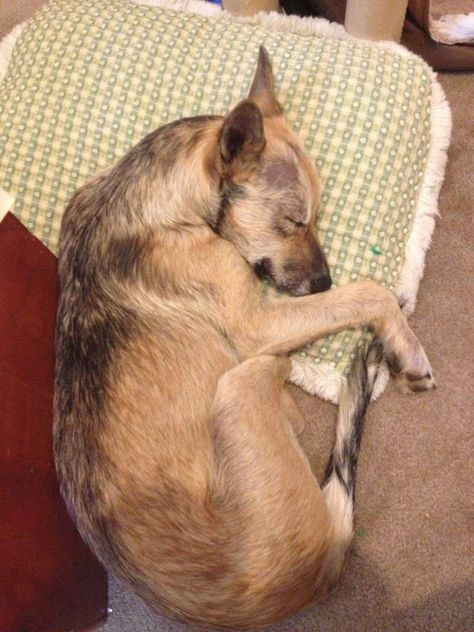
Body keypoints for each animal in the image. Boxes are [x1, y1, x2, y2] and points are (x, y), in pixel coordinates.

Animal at [53, 48, 436, 628]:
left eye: (315, 218)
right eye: (293, 221)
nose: (323, 283)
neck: (163, 202)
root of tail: (324, 560)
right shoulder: (258, 324)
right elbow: (370, 292)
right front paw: (405, 343)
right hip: (239, 382)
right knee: (289, 388)